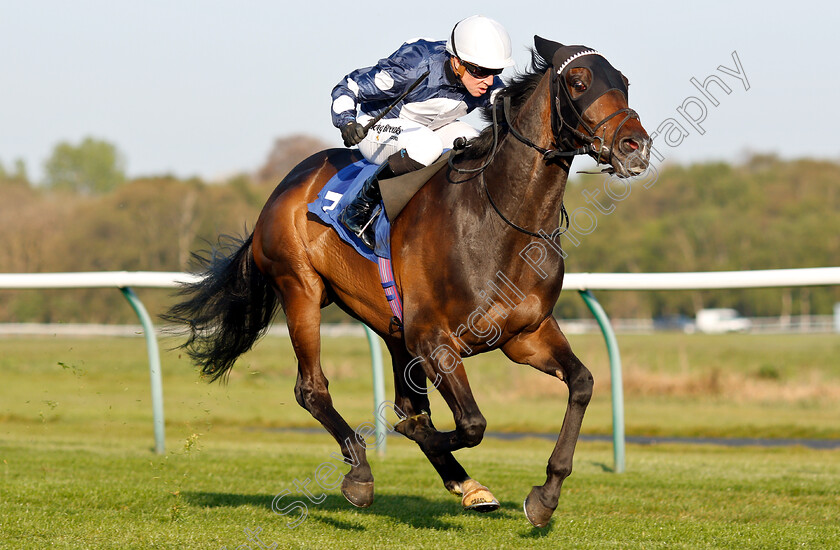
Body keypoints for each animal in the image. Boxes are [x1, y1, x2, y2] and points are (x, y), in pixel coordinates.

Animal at [166, 36, 648, 528]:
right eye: (578, 82)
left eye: (625, 82)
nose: (635, 145)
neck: (501, 220)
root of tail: (284, 187)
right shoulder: (434, 338)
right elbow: (469, 423)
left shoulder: (525, 334)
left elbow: (582, 383)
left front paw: (545, 495)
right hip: (300, 287)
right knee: (312, 389)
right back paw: (360, 473)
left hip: (391, 326)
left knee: (404, 401)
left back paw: (465, 483)